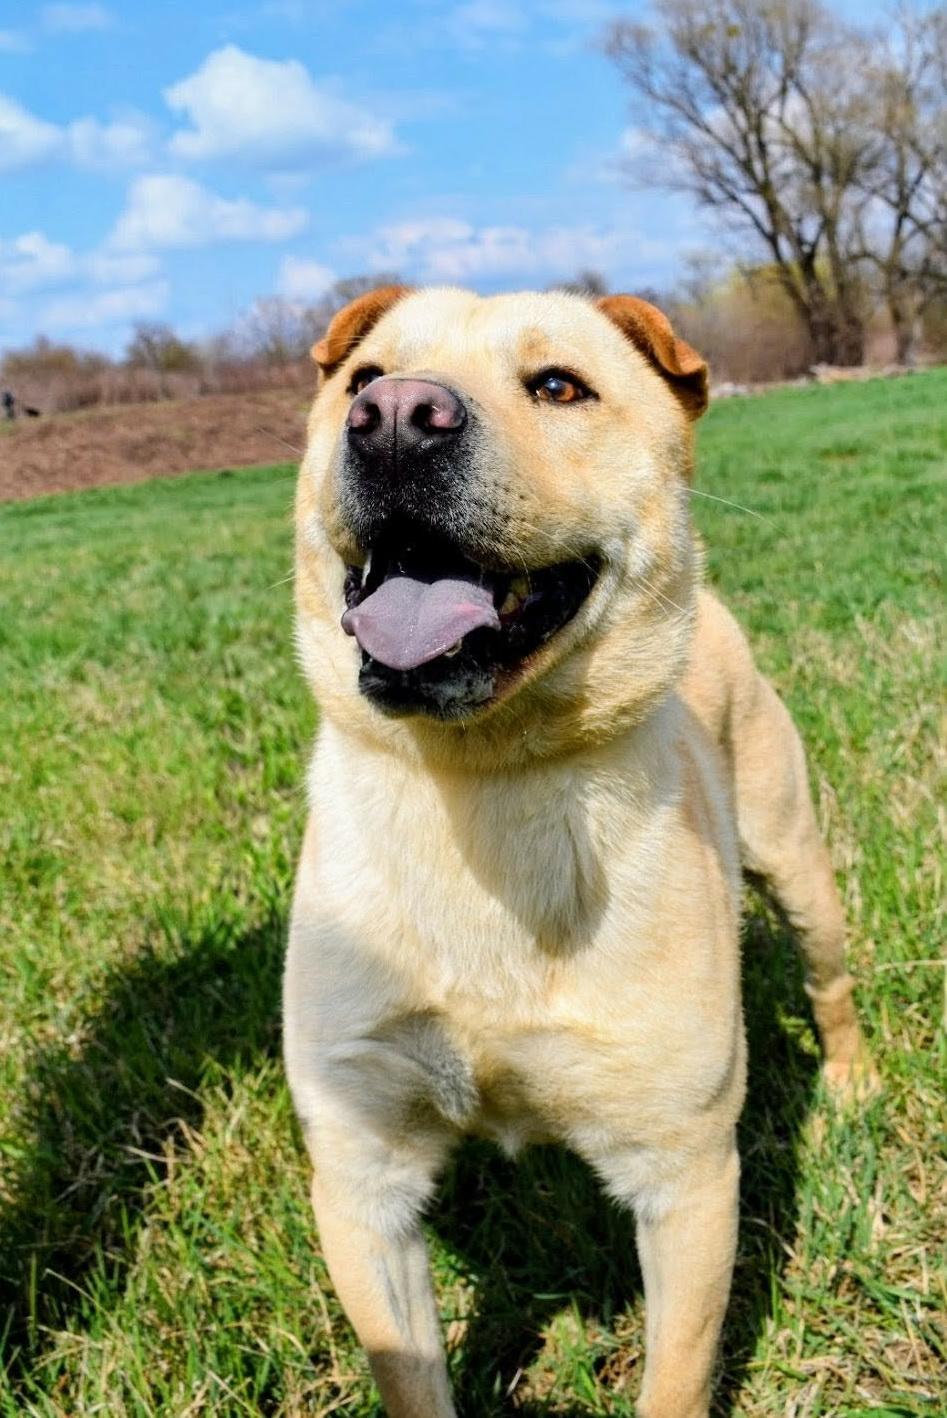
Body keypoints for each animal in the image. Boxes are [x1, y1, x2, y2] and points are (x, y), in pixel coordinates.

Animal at [283, 285, 874, 1417]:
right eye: (363, 380)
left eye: (559, 387)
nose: (394, 418)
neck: (483, 780)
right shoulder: (362, 1172)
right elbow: (410, 1371)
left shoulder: (684, 1172)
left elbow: (675, 1375)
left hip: (794, 861)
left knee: (828, 979)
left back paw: (854, 1079)